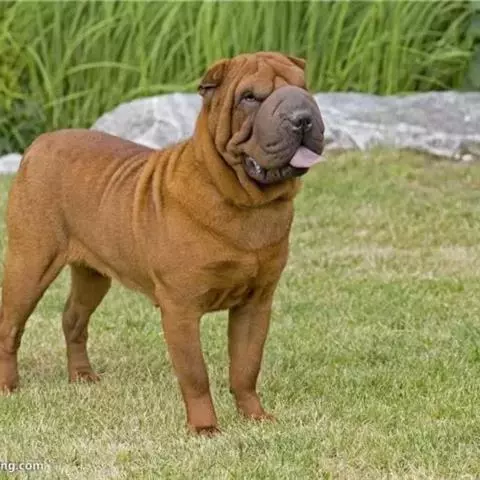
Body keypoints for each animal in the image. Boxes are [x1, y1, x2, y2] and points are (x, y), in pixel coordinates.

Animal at [0, 52, 324, 435]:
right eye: (250, 98)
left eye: (303, 88)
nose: (302, 117)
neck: (249, 202)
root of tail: (39, 143)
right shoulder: (180, 308)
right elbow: (195, 374)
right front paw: (205, 429)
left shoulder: (256, 304)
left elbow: (246, 367)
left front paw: (255, 416)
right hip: (31, 262)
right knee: (10, 326)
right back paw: (8, 386)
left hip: (93, 275)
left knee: (73, 319)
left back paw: (82, 376)